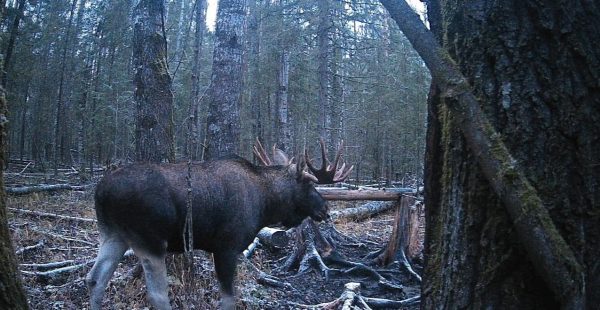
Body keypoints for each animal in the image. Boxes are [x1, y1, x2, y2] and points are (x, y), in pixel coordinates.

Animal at [88, 140, 352, 310]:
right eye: (309, 184)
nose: (325, 209)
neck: (266, 204)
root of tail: (102, 192)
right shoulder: (227, 245)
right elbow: (228, 299)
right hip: (150, 240)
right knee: (157, 294)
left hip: (113, 234)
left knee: (95, 279)